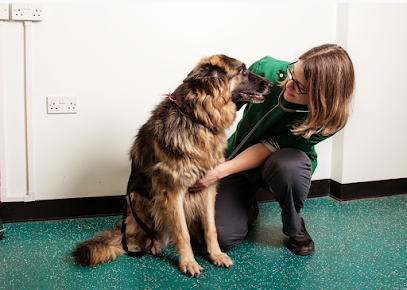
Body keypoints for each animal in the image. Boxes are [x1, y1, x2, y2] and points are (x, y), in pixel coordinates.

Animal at [75, 53, 276, 276]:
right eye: (242, 70)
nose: (273, 84)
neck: (196, 118)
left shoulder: (207, 187)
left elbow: (211, 228)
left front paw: (215, 255)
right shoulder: (172, 190)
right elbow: (182, 233)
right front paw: (188, 262)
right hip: (138, 199)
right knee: (145, 233)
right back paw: (150, 245)